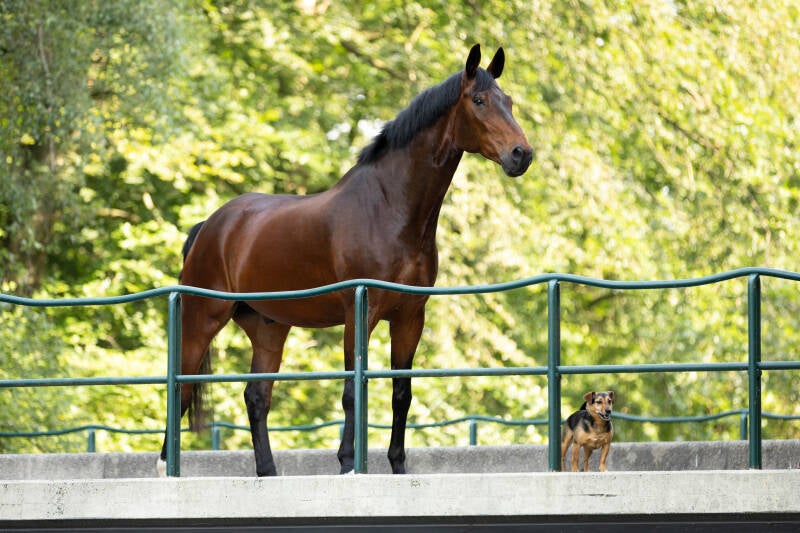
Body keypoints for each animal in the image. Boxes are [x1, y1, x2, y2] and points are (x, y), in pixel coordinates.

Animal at [158, 44, 533, 476]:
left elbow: (401, 392)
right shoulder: (360, 312)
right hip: (202, 318)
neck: (388, 208)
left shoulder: (410, 316)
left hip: (269, 329)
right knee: (181, 389)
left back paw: (267, 472)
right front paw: (348, 463)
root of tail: (210, 226)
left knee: (256, 397)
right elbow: (353, 389)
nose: (521, 154)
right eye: (479, 100)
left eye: (509, 101)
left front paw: (397, 465)